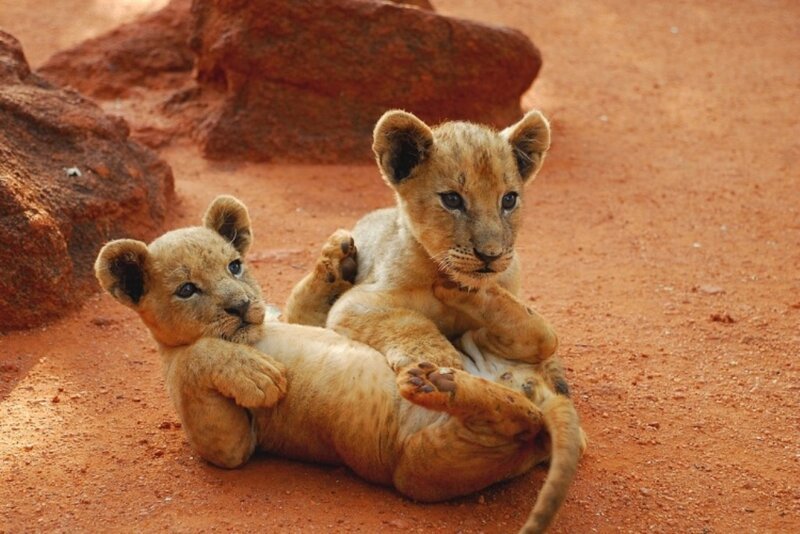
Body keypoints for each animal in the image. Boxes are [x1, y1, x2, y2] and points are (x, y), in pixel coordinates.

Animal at [95, 195, 584, 533]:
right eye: (186, 290)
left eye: (234, 266)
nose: (241, 305)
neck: (252, 335)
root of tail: (540, 391)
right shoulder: (230, 443)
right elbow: (196, 360)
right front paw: (259, 376)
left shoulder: (287, 316)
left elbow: (304, 302)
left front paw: (336, 257)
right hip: (426, 465)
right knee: (516, 420)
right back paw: (438, 381)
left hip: (476, 343)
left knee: (542, 337)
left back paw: (460, 291)